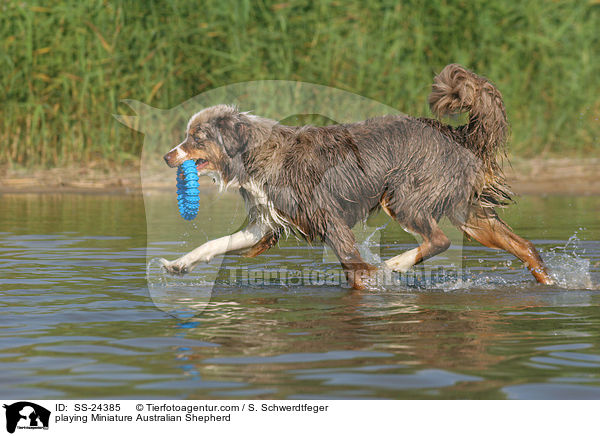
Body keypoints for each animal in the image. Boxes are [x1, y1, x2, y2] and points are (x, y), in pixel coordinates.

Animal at [161, 64, 552, 290]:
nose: (167, 156)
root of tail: (457, 134)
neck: (255, 156)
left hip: (404, 197)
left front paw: (373, 281)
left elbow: (356, 269)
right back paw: (552, 285)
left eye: (197, 138)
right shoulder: (267, 221)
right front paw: (178, 264)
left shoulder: (328, 217)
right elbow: (215, 244)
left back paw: (396, 264)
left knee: (439, 240)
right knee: (526, 247)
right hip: (469, 214)